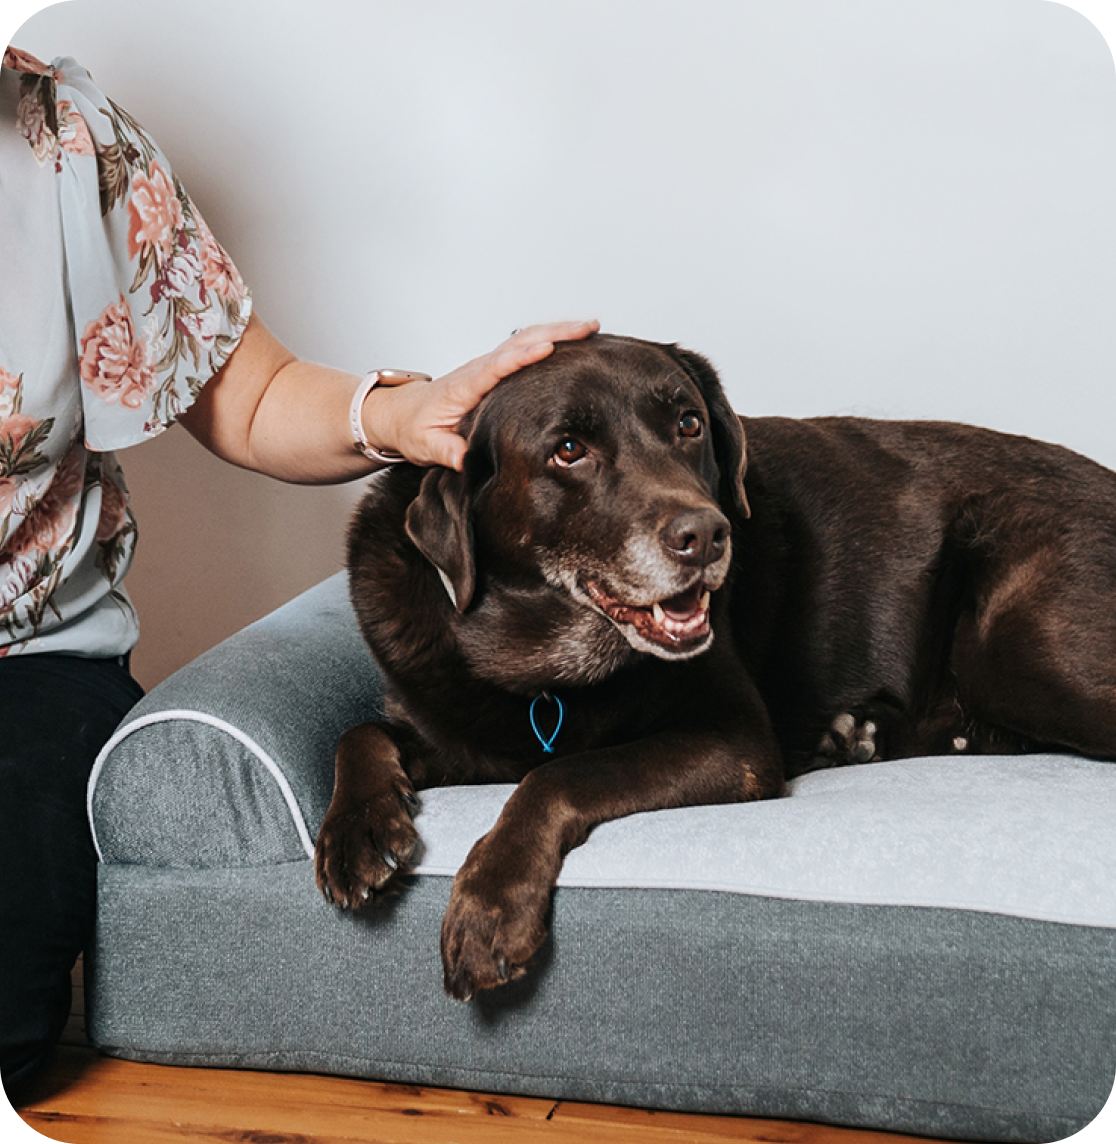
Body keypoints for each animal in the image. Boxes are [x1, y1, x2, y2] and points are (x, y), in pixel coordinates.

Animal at [315, 334, 1116, 1002]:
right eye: (568, 449)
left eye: (688, 425)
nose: (706, 535)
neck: (544, 663)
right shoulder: (458, 739)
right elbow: (358, 733)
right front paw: (356, 832)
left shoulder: (733, 740)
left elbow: (560, 774)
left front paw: (490, 906)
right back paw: (860, 735)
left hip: (1016, 644)